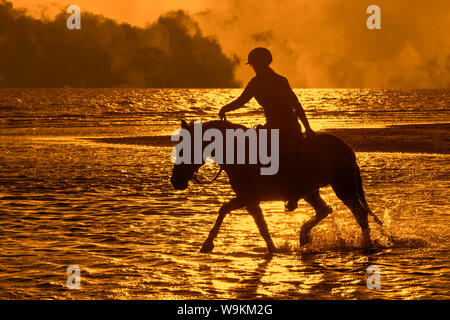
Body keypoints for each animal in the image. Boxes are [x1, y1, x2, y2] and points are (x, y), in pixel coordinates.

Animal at [171, 119, 382, 254]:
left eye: (183, 149)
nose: (175, 181)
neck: (237, 152)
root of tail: (349, 150)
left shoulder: (247, 197)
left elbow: (223, 209)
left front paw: (207, 244)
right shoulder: (251, 201)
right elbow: (262, 227)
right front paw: (273, 250)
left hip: (343, 186)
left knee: (360, 213)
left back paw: (366, 243)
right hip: (311, 191)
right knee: (325, 210)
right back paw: (304, 236)